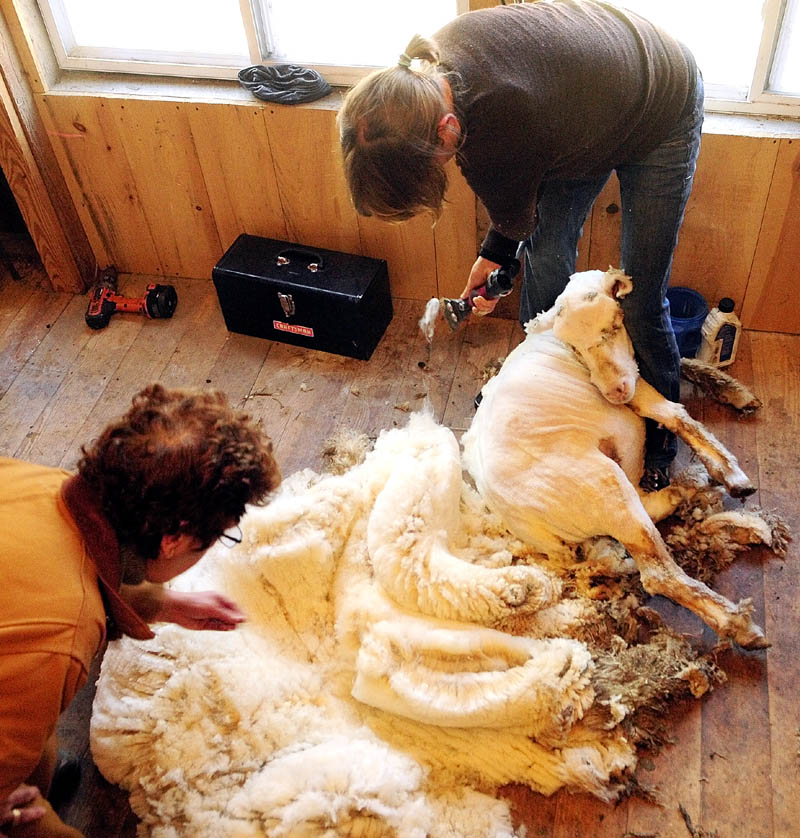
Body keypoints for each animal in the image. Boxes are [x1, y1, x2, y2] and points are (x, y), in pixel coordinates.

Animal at [466, 270, 764, 648]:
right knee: (656, 568)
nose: (614, 394)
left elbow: (683, 364)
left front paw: (736, 394)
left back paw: (686, 488)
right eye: (575, 347)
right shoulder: (636, 386)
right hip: (603, 486)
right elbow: (674, 413)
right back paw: (737, 623)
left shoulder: (633, 370)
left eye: (611, 327)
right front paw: (731, 472)